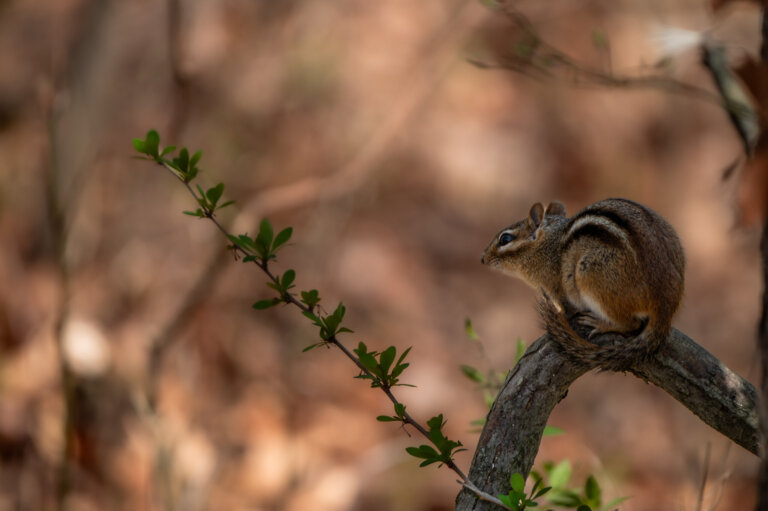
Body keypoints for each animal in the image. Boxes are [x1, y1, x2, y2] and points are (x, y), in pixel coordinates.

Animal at [481, 198, 685, 371]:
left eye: (505, 239)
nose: (482, 259)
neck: (548, 245)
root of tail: (666, 305)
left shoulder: (556, 288)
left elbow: (566, 308)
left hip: (591, 275)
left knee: (631, 323)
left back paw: (600, 323)